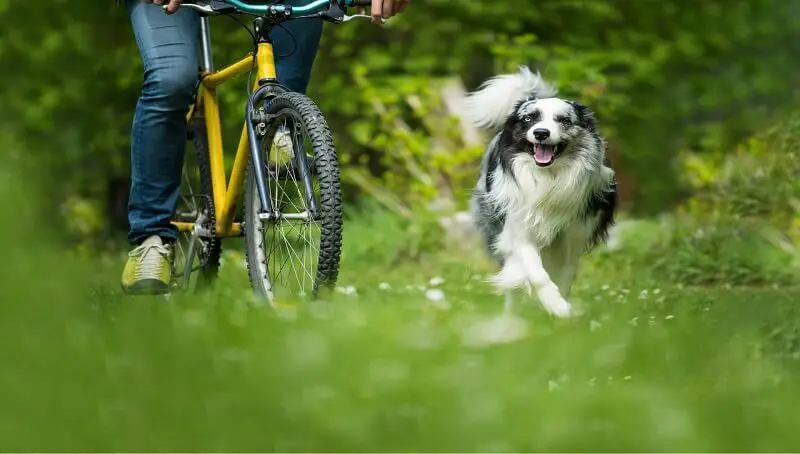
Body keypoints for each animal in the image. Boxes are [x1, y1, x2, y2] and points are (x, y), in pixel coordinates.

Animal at [462, 65, 620, 318]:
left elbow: (564, 277)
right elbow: (536, 273)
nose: (542, 133)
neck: (548, 178)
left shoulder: (573, 237)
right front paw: (555, 305)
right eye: (528, 119)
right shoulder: (519, 228)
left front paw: (559, 310)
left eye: (563, 119)